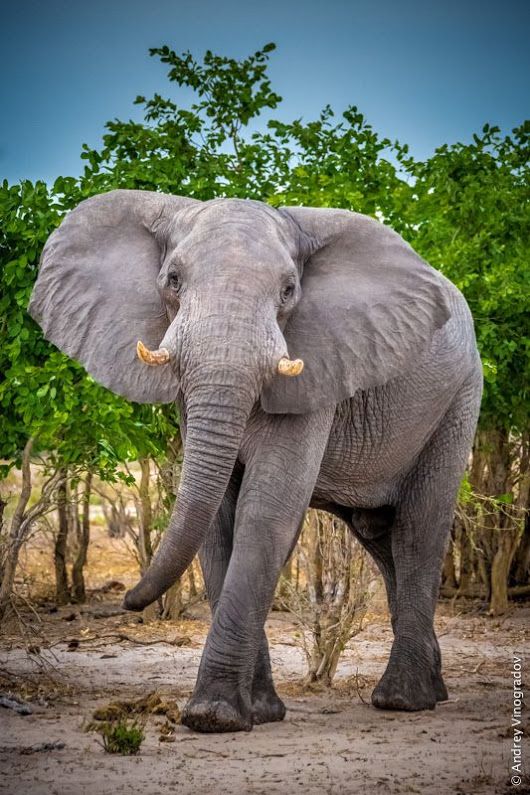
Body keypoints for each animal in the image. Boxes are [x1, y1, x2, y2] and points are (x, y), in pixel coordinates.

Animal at [28, 188, 482, 732]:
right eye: (173, 280)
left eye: (288, 290)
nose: (127, 599)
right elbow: (218, 517)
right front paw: (258, 712)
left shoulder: (318, 364)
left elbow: (266, 511)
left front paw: (213, 716)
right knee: (379, 536)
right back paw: (431, 690)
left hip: (458, 399)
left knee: (417, 529)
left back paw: (402, 700)